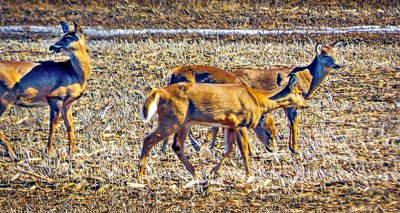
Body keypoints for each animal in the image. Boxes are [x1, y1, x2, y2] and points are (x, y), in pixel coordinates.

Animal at [0, 20, 90, 160]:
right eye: (62, 36)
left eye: (68, 37)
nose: (52, 46)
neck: (73, 73)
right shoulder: (55, 97)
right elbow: (53, 125)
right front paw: (49, 152)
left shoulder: (67, 103)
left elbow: (70, 126)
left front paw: (72, 152)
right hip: (5, 97)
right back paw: (12, 153)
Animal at [138, 74, 310, 177]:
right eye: (299, 92)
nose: (306, 105)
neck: (257, 99)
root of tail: (159, 93)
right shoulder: (240, 123)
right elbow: (244, 150)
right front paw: (249, 175)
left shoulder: (229, 126)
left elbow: (230, 149)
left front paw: (212, 172)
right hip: (172, 120)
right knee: (148, 140)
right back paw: (140, 174)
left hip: (184, 123)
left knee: (177, 146)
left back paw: (197, 174)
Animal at [167, 41, 342, 154]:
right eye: (324, 54)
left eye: (336, 53)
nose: (338, 64)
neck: (308, 77)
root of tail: (172, 74)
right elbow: (293, 123)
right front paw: (294, 149)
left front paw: (293, 148)